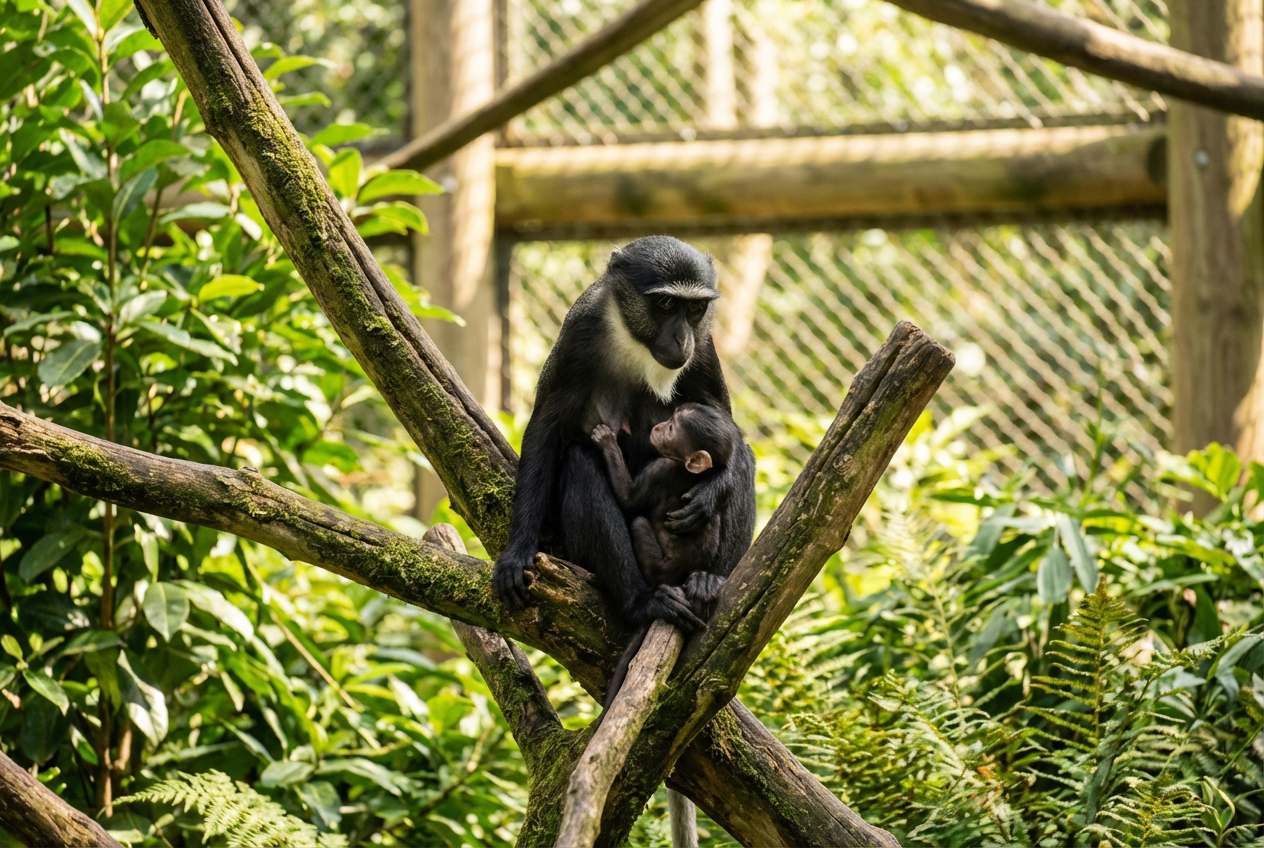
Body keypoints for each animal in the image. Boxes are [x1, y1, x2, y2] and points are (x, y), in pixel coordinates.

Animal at [492, 235, 756, 639]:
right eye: (666, 305)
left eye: (695, 308)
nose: (682, 339)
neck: (635, 344)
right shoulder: (577, 335)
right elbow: (545, 430)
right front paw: (517, 552)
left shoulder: (704, 348)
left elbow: (729, 431)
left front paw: (711, 490)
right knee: (580, 459)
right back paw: (641, 601)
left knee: (744, 461)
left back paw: (708, 580)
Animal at [591, 402, 746, 709]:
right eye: (670, 420)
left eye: (672, 428)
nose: (660, 426)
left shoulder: (663, 468)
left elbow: (629, 497)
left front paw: (606, 441)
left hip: (656, 567)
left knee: (638, 521)